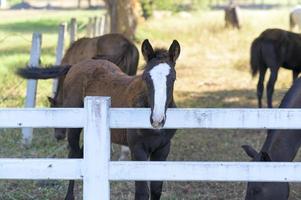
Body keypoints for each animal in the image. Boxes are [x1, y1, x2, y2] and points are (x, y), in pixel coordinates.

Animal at [16, 39, 179, 200]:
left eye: (173, 79)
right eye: (146, 77)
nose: (157, 120)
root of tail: (76, 65)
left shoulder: (163, 149)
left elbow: (156, 189)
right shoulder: (138, 149)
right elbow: (142, 192)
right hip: (74, 128)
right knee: (74, 155)